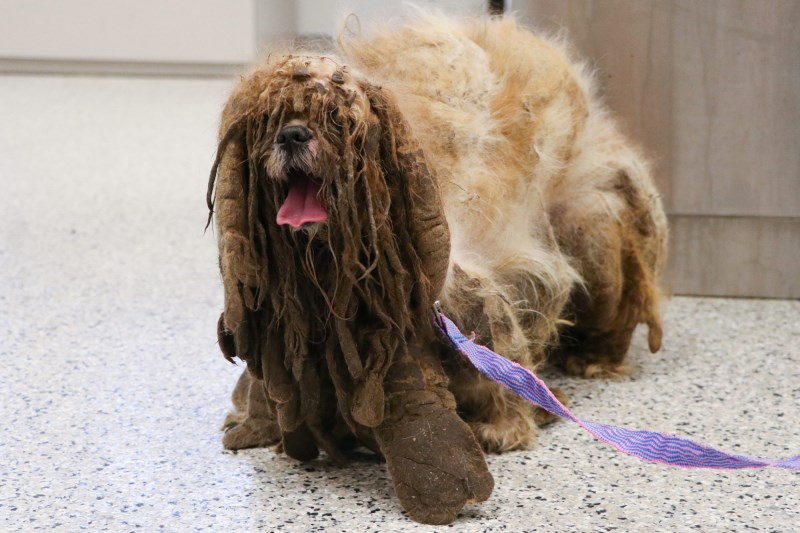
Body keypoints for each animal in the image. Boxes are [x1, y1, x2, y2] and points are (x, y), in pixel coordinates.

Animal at [208, 13, 668, 524]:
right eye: (269, 120)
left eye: (334, 119)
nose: (291, 135)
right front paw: (254, 418)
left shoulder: (467, 298)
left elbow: (499, 358)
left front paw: (505, 428)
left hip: (593, 228)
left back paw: (593, 359)